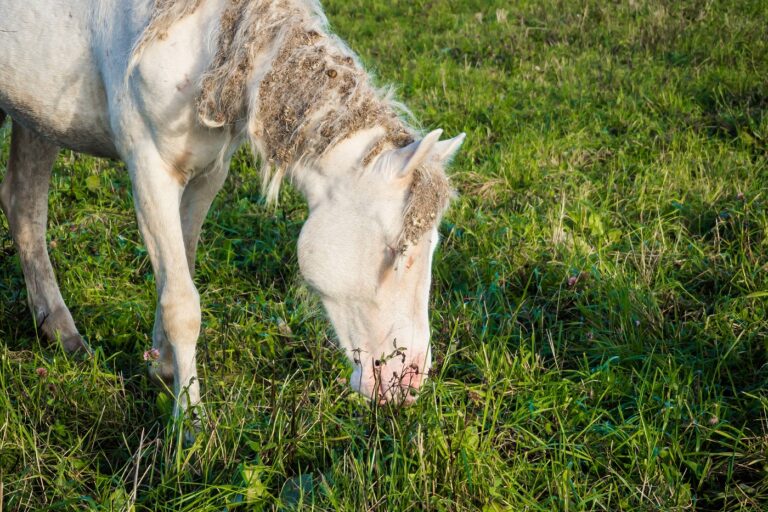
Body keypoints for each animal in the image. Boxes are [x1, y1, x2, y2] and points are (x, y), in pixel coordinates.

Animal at [0, 0, 462, 416]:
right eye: (396, 251)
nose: (409, 382)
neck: (209, 39)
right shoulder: (150, 171)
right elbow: (182, 305)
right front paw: (190, 424)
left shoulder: (207, 174)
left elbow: (179, 271)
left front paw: (165, 369)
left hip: (36, 117)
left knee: (24, 206)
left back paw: (61, 333)